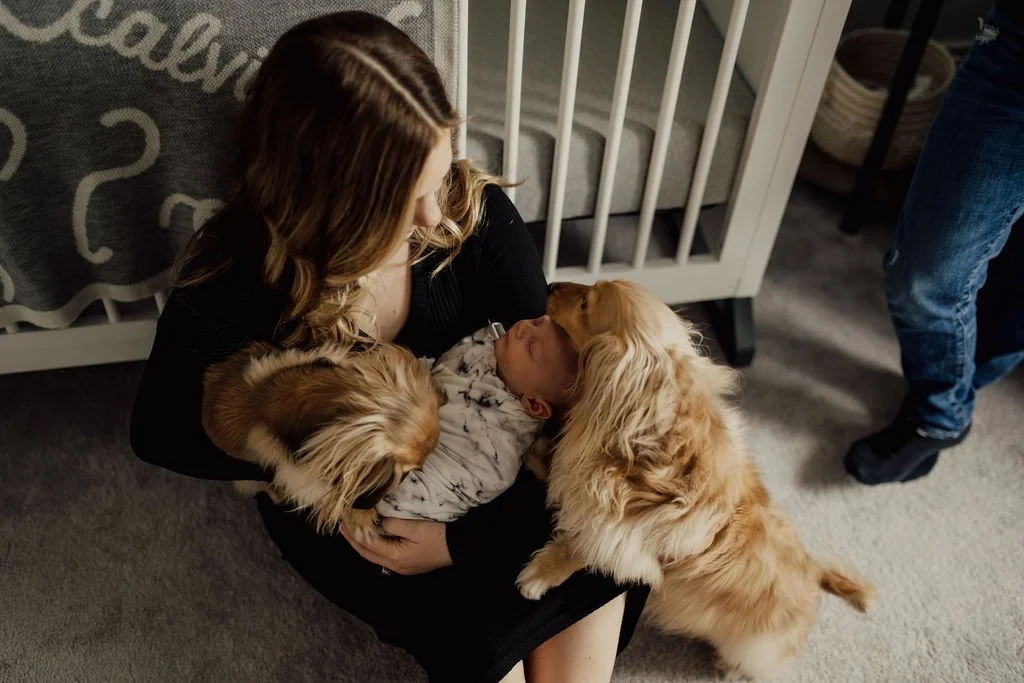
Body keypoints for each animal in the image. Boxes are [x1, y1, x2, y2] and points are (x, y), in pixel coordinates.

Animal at [516, 280, 875, 678]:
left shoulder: (625, 538)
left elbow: (580, 549)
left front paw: (539, 575)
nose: (551, 285)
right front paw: (542, 457)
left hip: (752, 647)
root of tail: (814, 572)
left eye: (585, 304)